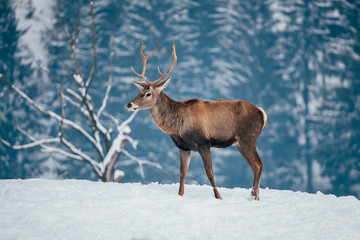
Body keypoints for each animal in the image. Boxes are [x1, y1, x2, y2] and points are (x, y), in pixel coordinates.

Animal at [127, 42, 268, 200]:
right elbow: (183, 173)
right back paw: (253, 195)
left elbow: (209, 173)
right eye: (139, 92)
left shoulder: (204, 143)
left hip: (248, 138)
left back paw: (255, 197)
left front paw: (218, 197)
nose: (129, 105)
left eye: (148, 93)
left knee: (258, 164)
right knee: (255, 165)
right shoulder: (183, 146)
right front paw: (180, 195)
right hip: (240, 143)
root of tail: (262, 113)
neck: (177, 128)